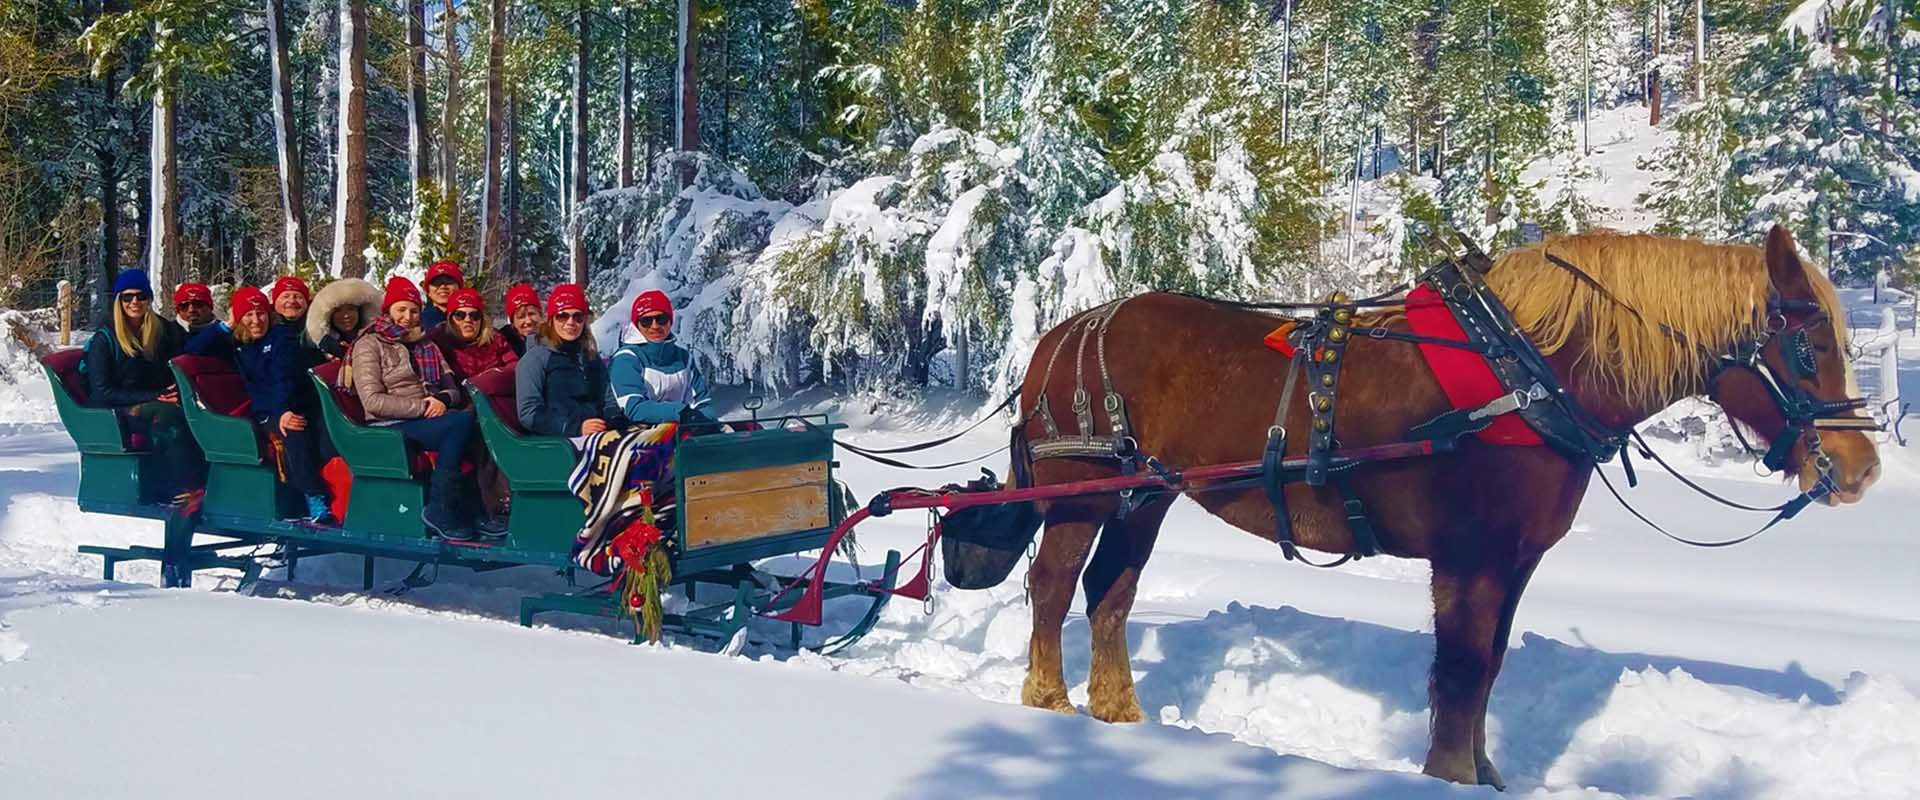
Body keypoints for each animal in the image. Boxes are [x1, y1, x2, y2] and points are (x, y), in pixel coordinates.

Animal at [940, 224, 1873, 786]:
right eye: (1805, 344)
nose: (1860, 467)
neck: (1530, 372)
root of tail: (1061, 333)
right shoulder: (1470, 557)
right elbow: (1459, 671)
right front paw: (1449, 777)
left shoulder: (1515, 560)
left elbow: (1488, 669)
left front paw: (1485, 777)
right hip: (1081, 492)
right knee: (1054, 585)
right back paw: (1050, 705)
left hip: (1145, 495)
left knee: (1110, 594)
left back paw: (1119, 713)